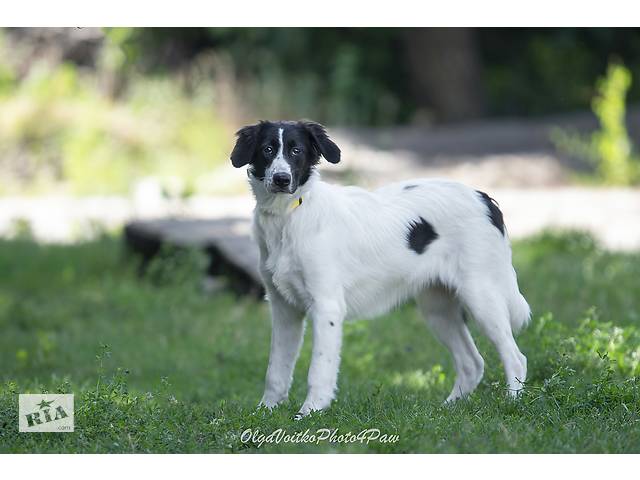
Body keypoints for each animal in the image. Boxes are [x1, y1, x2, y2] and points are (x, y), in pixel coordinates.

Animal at [230, 119, 528, 416]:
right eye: (267, 149)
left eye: (297, 151)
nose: (281, 179)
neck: (289, 216)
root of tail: (484, 198)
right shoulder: (284, 309)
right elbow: (276, 370)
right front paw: (265, 412)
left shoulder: (327, 306)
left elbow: (319, 369)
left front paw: (310, 412)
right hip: (438, 308)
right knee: (472, 363)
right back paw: (447, 409)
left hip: (481, 295)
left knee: (516, 357)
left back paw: (512, 403)